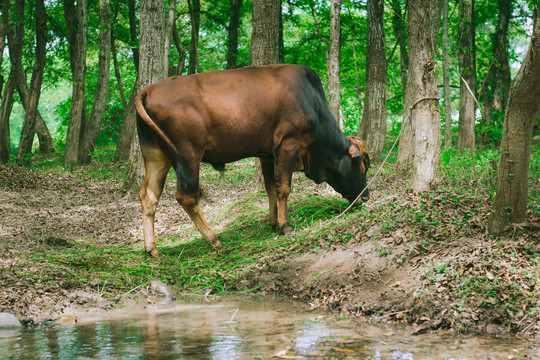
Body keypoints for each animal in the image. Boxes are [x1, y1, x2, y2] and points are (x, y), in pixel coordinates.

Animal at [135, 64, 372, 256]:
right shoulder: (288, 145)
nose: (366, 195)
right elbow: (284, 188)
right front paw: (286, 225)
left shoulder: (267, 155)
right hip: (188, 156)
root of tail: (148, 90)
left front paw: (273, 223)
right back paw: (215, 240)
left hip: (157, 158)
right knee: (186, 197)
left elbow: (271, 188)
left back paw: (152, 249)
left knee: (148, 196)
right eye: (363, 165)